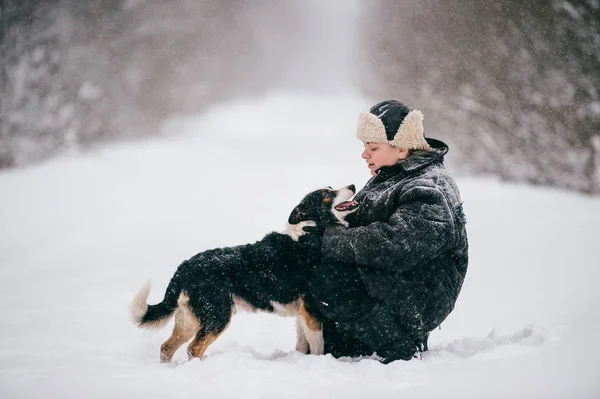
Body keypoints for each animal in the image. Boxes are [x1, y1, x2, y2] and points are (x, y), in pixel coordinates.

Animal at [129, 186, 358, 364]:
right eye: (327, 194)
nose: (353, 185)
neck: (311, 231)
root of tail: (184, 267)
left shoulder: (302, 315)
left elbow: (302, 345)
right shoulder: (311, 312)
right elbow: (318, 348)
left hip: (190, 319)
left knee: (167, 347)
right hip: (217, 314)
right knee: (193, 348)